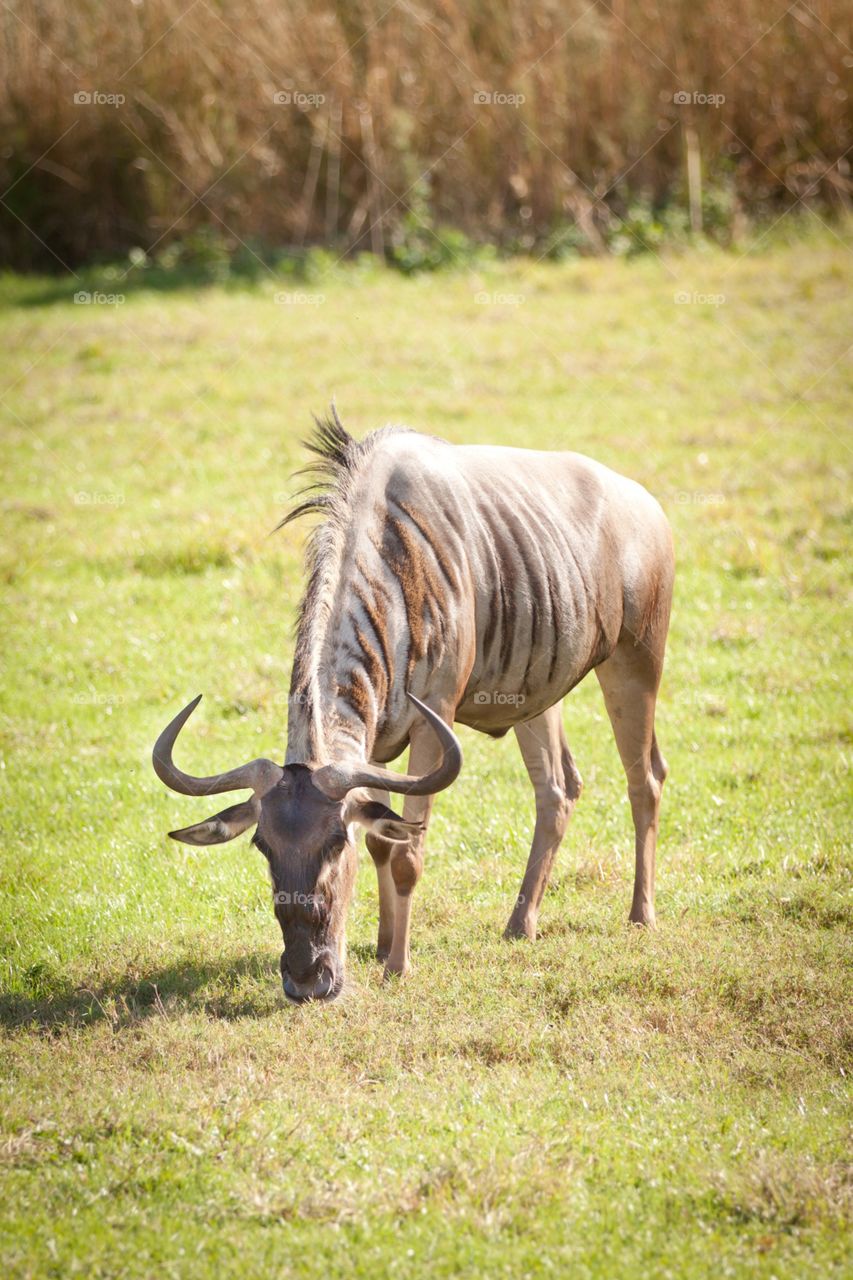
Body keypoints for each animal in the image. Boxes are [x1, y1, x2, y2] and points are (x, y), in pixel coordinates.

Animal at [153, 412, 674, 1003]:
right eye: (263, 846)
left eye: (336, 844)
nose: (307, 980)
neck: (391, 565)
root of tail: (645, 504)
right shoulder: (374, 746)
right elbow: (384, 837)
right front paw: (381, 946)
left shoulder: (433, 725)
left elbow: (407, 851)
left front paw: (398, 966)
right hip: (537, 696)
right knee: (558, 790)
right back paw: (520, 925)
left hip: (636, 663)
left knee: (644, 779)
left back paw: (641, 915)